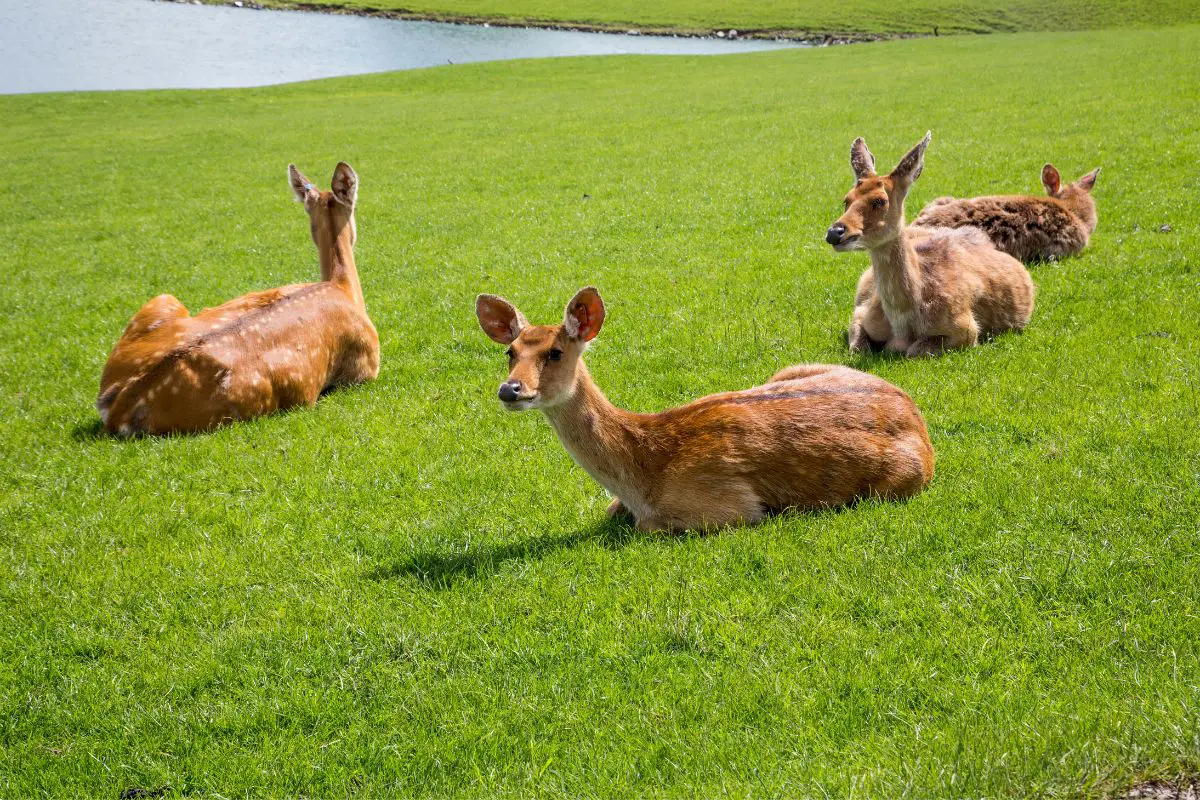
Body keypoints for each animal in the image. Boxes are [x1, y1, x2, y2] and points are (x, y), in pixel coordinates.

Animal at [472, 287, 931, 532]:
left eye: (555, 353)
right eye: (510, 352)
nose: (510, 389)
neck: (643, 475)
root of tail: (915, 413)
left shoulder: (730, 506)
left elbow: (648, 527)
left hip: (901, 479)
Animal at [825, 133, 1041, 357]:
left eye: (880, 201)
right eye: (846, 200)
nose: (834, 233)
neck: (902, 325)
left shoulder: (966, 328)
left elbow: (913, 350)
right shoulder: (861, 313)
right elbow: (858, 348)